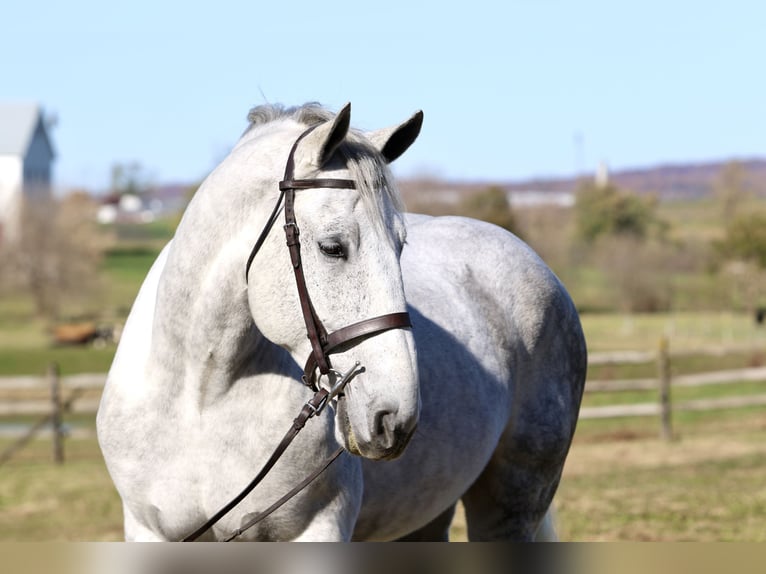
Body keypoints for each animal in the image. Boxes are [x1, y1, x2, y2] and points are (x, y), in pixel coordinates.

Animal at [96, 102, 587, 541]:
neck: (200, 397)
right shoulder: (151, 533)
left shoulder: (317, 528)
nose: (396, 416)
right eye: (332, 247)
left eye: (400, 245)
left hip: (512, 502)